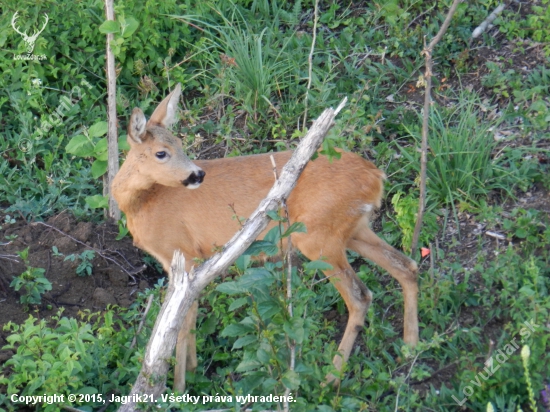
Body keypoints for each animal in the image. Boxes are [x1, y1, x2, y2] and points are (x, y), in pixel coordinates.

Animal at [113, 83, 422, 392]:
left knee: (360, 295)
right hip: (353, 228)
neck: (141, 204)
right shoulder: (189, 262)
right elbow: (188, 319)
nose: (197, 174)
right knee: (406, 265)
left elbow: (178, 325)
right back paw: (410, 348)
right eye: (161, 152)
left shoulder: (182, 255)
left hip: (318, 237)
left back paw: (330, 378)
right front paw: (190, 370)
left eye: (178, 145)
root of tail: (376, 175)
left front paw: (177, 388)